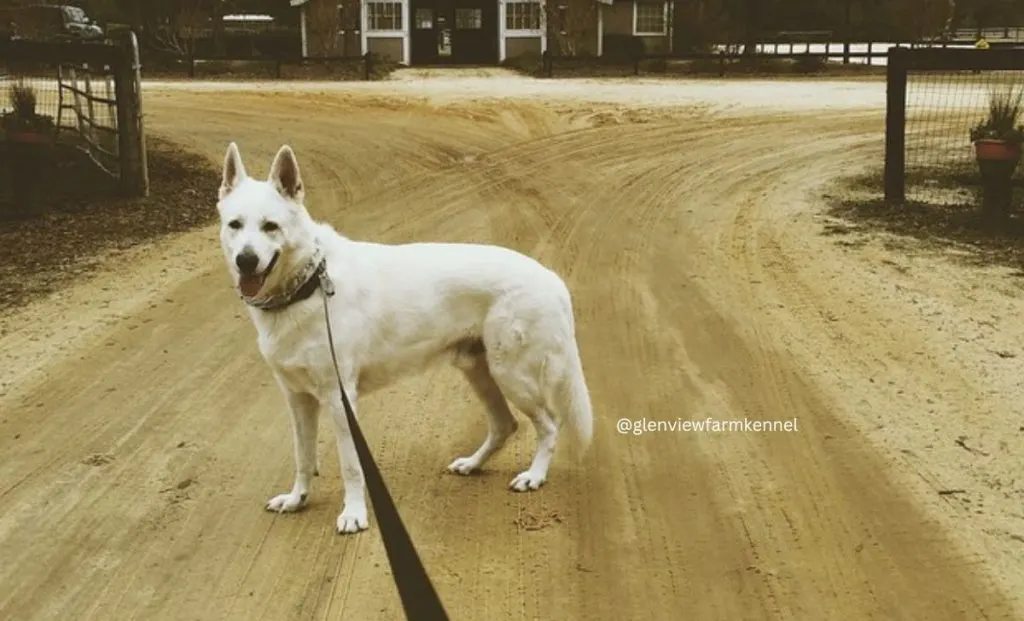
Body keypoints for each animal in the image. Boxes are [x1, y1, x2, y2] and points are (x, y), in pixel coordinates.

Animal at [220, 142, 598, 536]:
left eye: (270, 226)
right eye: (235, 225)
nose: (245, 260)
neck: (309, 284)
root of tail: (551, 277)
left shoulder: (340, 400)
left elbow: (351, 466)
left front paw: (354, 513)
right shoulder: (297, 400)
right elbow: (303, 457)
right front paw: (297, 499)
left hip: (513, 376)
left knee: (549, 425)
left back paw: (534, 476)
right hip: (481, 373)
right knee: (505, 425)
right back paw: (473, 464)